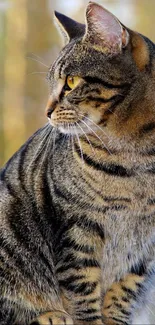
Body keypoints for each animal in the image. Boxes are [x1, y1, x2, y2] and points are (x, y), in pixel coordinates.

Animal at [0, 2, 155, 324]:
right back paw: (49, 315)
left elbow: (124, 290)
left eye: (71, 82)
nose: (46, 111)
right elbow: (82, 289)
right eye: (51, 83)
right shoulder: (76, 225)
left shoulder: (146, 246)